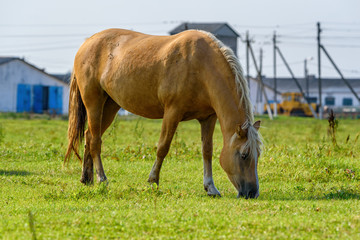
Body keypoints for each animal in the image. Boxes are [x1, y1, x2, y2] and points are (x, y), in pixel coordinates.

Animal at [64, 28, 262, 198]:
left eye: (258, 155)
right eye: (244, 155)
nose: (252, 193)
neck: (201, 65)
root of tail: (87, 43)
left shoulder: (208, 118)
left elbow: (207, 151)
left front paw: (210, 187)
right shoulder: (172, 112)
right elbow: (163, 147)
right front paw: (153, 181)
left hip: (111, 106)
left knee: (89, 136)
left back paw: (87, 178)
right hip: (94, 103)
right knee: (95, 141)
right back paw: (102, 179)